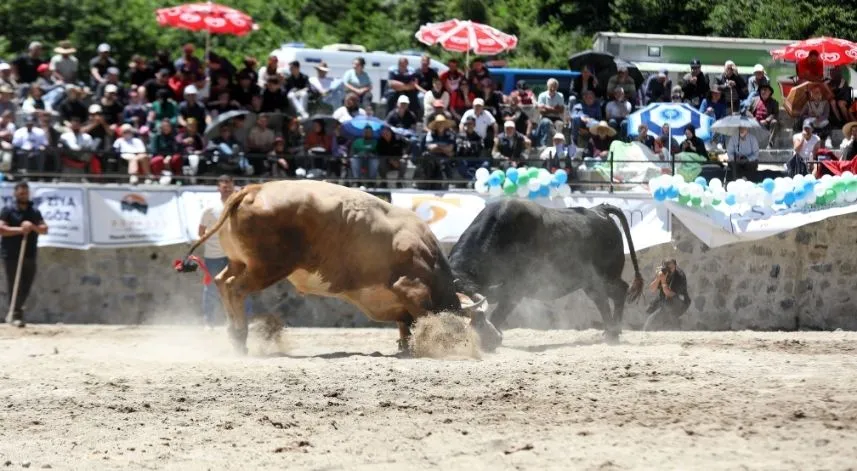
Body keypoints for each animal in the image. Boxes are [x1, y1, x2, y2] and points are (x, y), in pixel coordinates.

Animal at [177, 180, 498, 354]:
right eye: (480, 319)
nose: (498, 338)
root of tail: (256, 189)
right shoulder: (411, 288)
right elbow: (422, 318)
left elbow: (405, 325)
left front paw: (406, 347)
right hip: (268, 267)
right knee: (235, 288)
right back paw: (240, 335)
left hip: (240, 262)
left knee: (222, 281)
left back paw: (235, 336)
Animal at [448, 199, 640, 346]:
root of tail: (600, 210)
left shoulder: (516, 289)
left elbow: (497, 315)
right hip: (591, 282)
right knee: (605, 299)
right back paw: (611, 332)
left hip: (606, 275)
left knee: (618, 292)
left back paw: (613, 334)